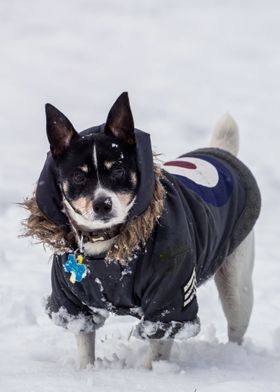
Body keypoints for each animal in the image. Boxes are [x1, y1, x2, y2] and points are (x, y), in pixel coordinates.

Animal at [23, 93, 262, 370]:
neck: (108, 247)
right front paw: (87, 371)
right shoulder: (73, 303)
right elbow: (85, 344)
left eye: (118, 170)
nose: (102, 204)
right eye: (78, 176)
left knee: (236, 326)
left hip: (237, 285)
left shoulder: (170, 300)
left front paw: (151, 374)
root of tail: (221, 153)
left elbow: (157, 347)